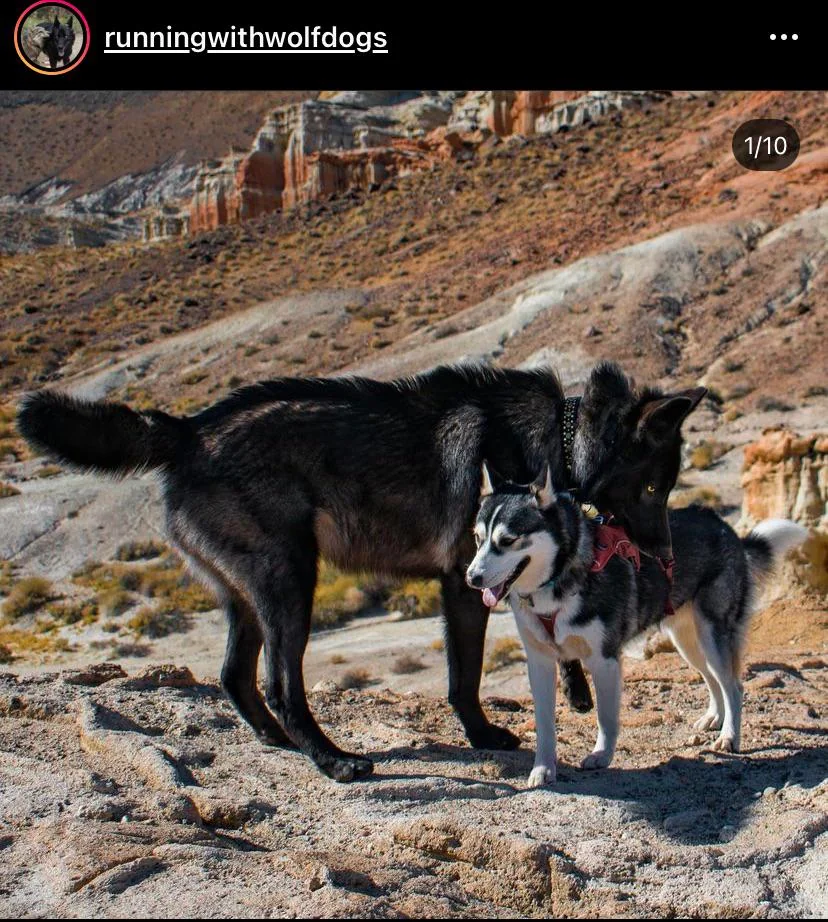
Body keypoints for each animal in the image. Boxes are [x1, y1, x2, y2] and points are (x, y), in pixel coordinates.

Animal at [19, 360, 700, 776]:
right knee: (280, 684)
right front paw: (484, 737)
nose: (666, 556)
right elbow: (465, 676)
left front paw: (577, 692)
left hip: (247, 595)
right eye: (650, 488)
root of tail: (187, 429)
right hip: (292, 581)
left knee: (234, 676)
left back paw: (277, 741)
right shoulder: (467, 582)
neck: (557, 437)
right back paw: (333, 762)